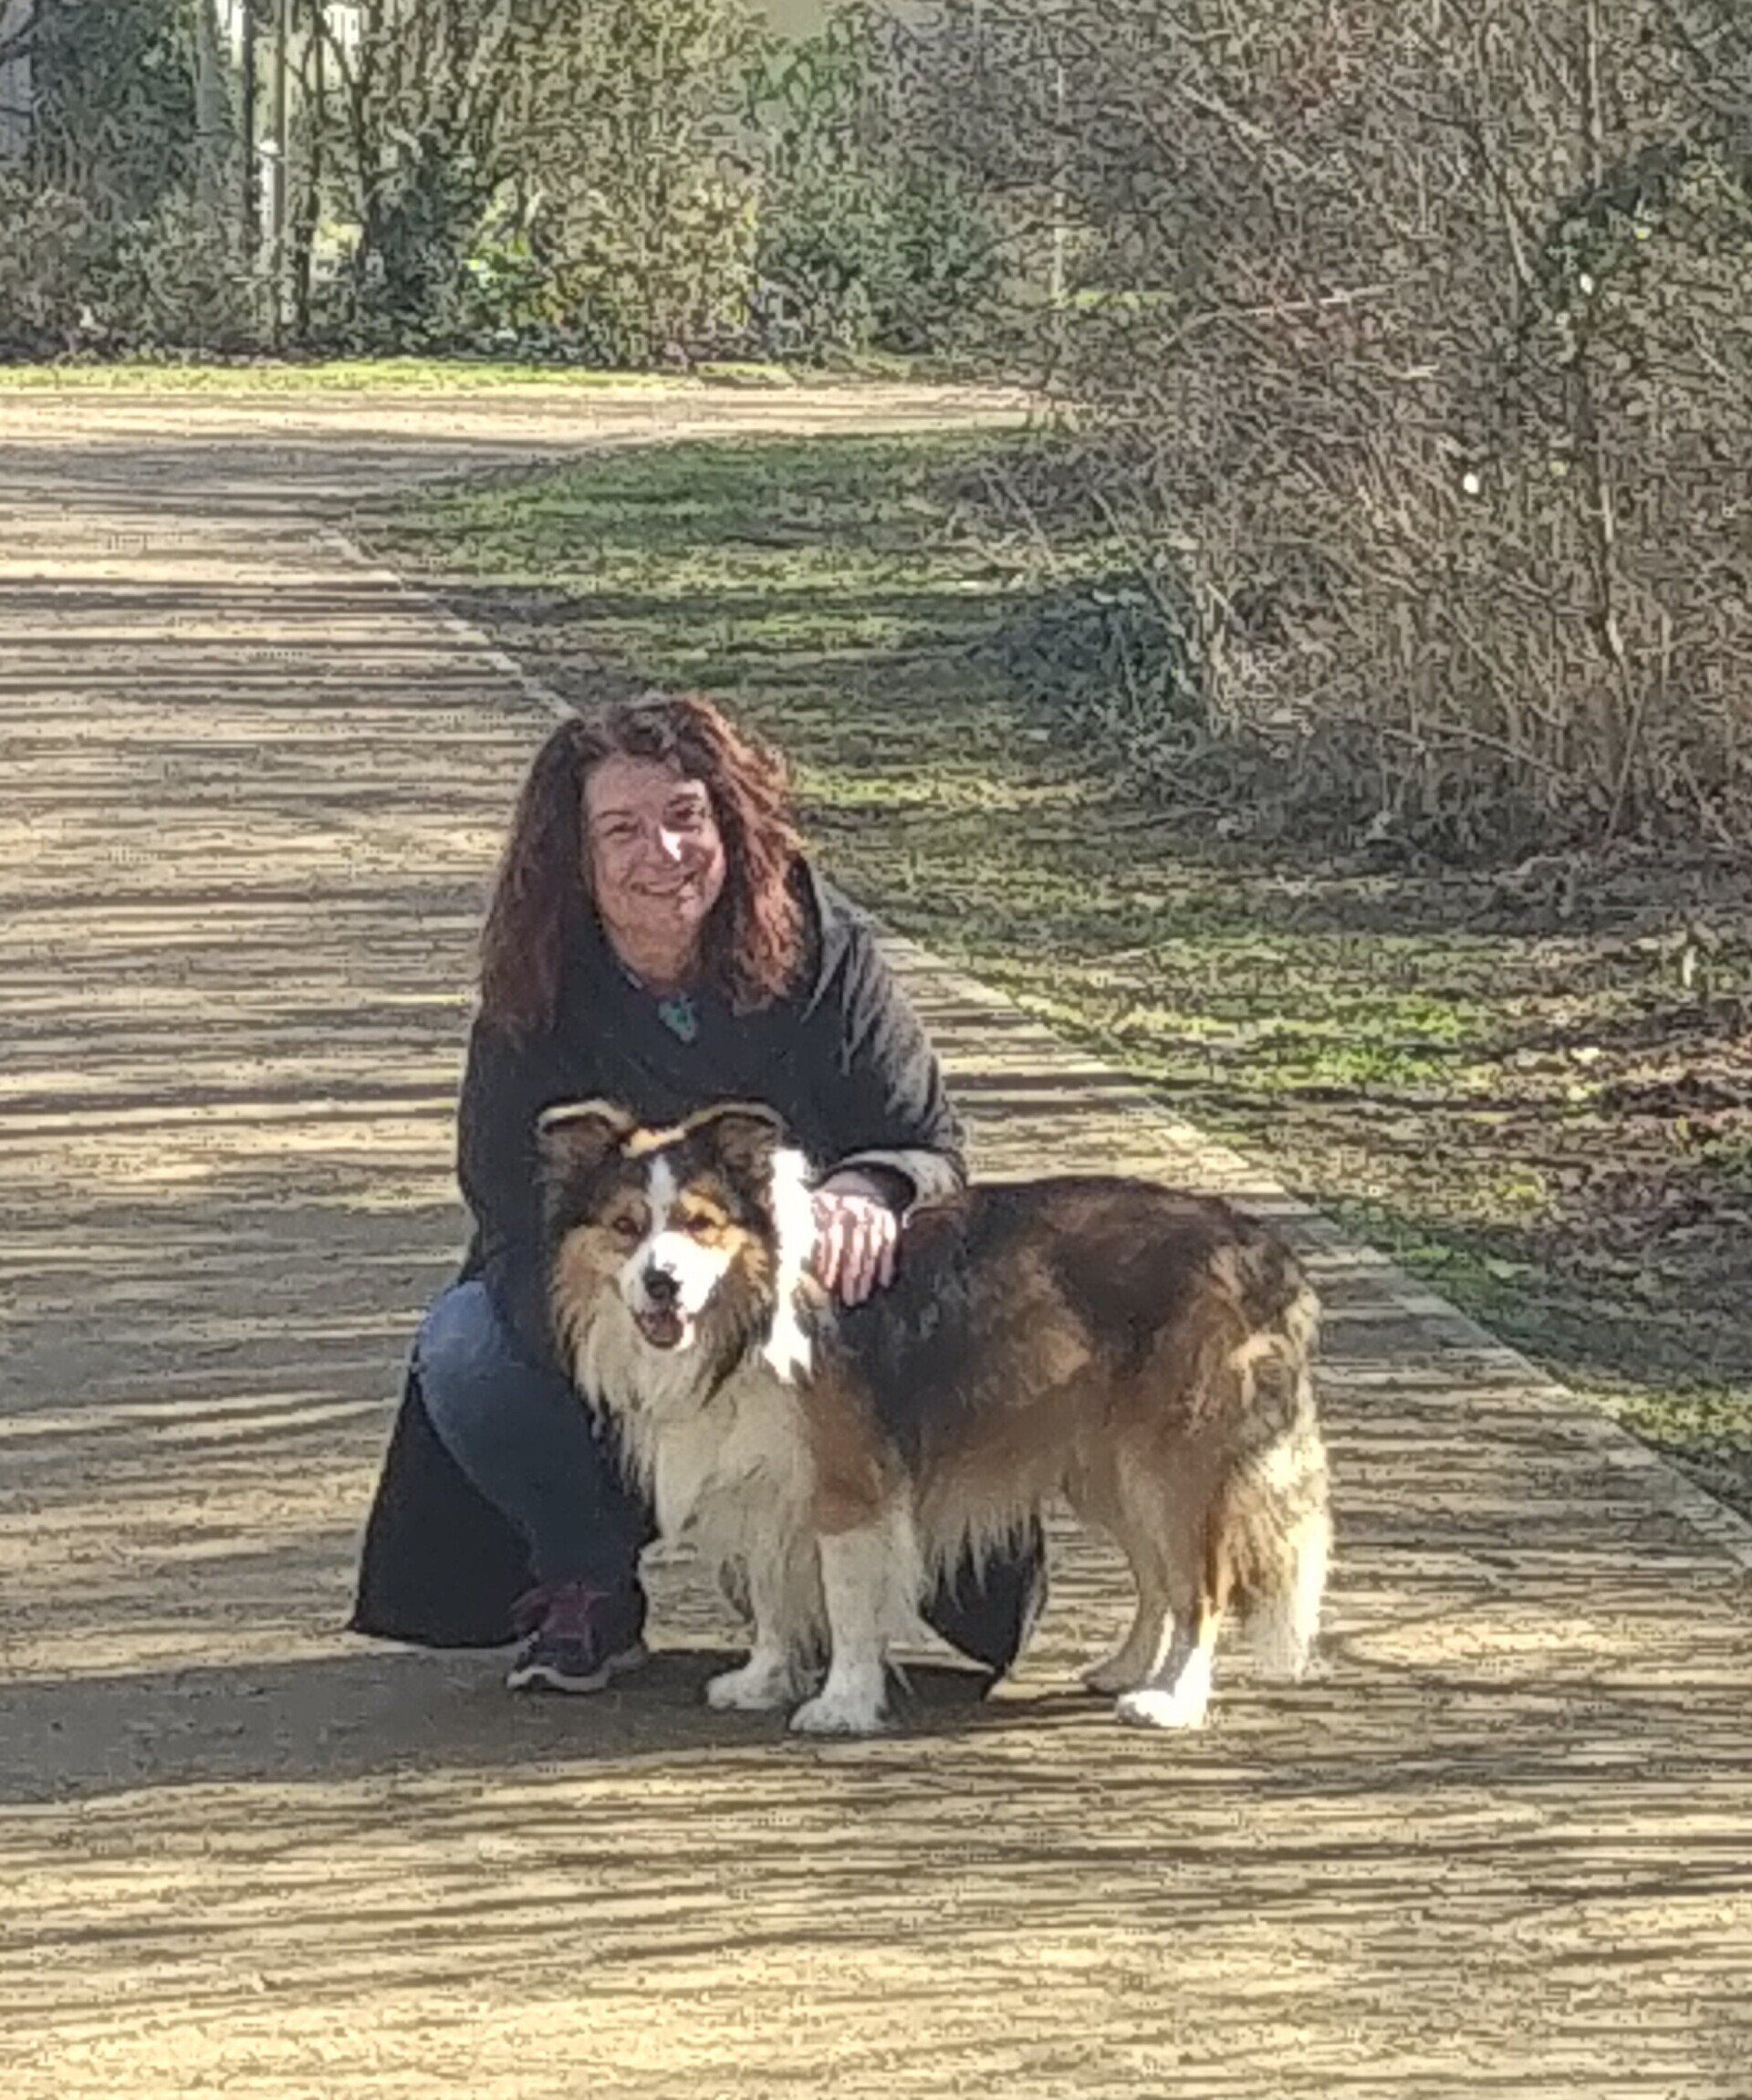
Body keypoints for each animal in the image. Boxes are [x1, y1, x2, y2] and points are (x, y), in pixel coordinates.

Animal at [536, 1098, 1331, 1737]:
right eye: (626, 1225)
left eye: (700, 1224)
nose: (661, 1283)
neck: (751, 1308)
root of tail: (1262, 1247)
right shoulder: (765, 1476)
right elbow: (771, 1588)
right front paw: (764, 1678)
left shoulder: (848, 1486)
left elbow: (846, 1601)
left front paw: (843, 1702)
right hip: (1108, 1466)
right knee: (1159, 1581)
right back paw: (1129, 1669)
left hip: (1171, 1465)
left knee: (1201, 1587)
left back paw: (1173, 1700)